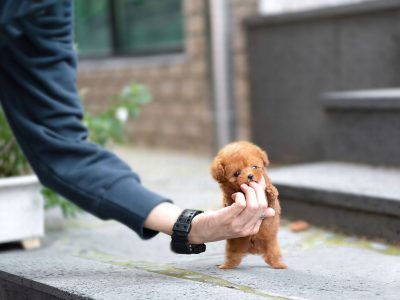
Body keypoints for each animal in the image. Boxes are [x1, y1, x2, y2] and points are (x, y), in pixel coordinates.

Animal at [211, 141, 286, 270]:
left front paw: (270, 191)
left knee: (273, 255)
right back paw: (225, 265)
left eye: (254, 167)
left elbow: (271, 199)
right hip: (233, 247)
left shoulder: (271, 206)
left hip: (271, 244)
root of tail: (253, 248)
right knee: (232, 258)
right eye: (237, 173)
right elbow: (229, 200)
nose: (250, 176)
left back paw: (279, 265)